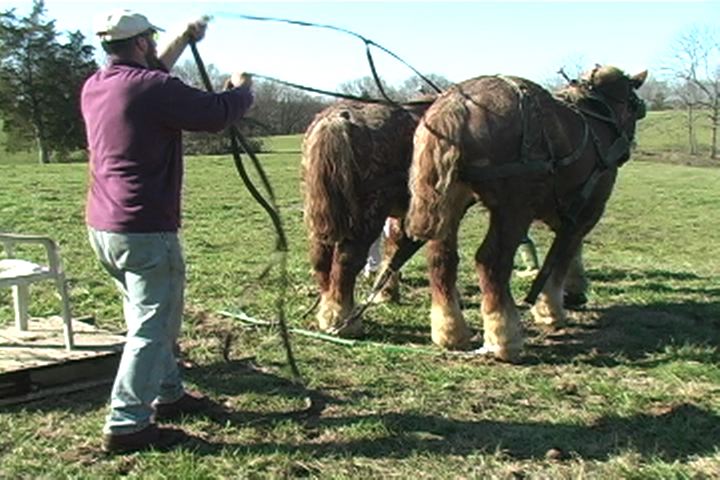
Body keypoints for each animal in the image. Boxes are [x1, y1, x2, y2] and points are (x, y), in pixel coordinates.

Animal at [300, 97, 430, 336]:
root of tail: (335, 120)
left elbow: (393, 250)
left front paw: (387, 293)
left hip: (318, 212)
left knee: (320, 257)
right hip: (367, 215)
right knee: (347, 261)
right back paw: (342, 320)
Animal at [404, 65, 648, 362]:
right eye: (634, 106)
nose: (626, 152)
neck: (598, 118)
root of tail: (456, 102)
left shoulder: (566, 212)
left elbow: (570, 252)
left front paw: (574, 290)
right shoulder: (587, 211)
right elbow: (561, 257)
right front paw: (550, 309)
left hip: (452, 200)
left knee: (441, 257)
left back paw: (450, 332)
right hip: (514, 209)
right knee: (491, 261)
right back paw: (504, 338)